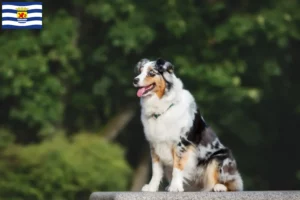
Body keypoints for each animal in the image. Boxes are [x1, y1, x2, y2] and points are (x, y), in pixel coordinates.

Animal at [134, 57, 244, 192]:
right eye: (140, 71)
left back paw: (219, 187)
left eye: (151, 73)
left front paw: (175, 187)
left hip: (219, 158)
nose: (135, 80)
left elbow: (177, 167)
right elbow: (156, 170)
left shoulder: (181, 143)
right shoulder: (155, 144)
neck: (163, 108)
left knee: (231, 183)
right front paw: (152, 187)